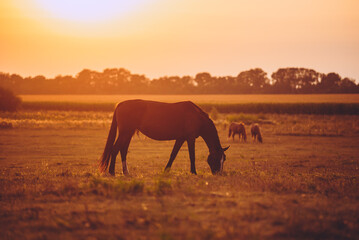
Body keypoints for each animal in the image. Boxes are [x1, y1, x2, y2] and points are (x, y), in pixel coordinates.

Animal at [97, 99, 231, 176]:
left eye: (224, 159)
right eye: (217, 158)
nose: (219, 173)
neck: (196, 116)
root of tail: (120, 104)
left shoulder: (181, 138)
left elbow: (173, 154)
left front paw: (166, 170)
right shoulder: (190, 138)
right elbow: (192, 156)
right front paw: (193, 172)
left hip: (128, 133)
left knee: (123, 150)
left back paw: (126, 172)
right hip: (125, 132)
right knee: (115, 149)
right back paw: (112, 172)